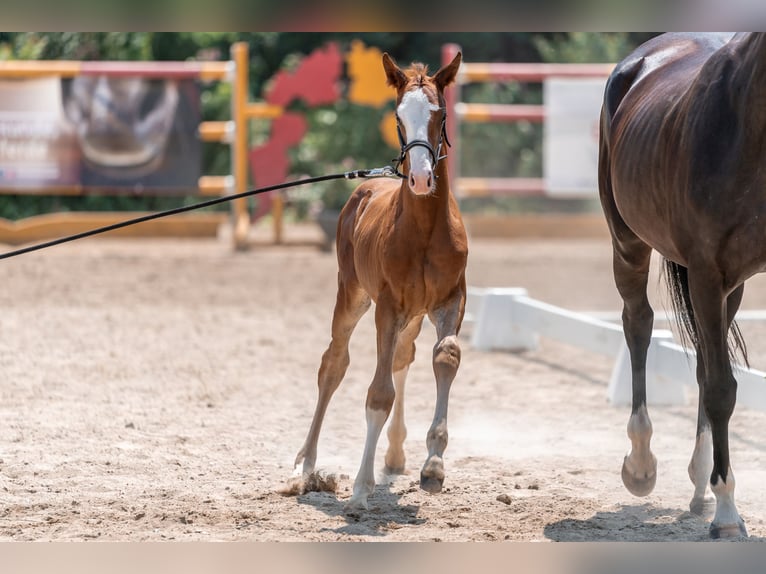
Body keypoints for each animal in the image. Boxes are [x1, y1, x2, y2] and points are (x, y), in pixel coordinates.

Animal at [292, 53, 468, 512]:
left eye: (440, 113)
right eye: (398, 116)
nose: (421, 178)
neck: (424, 229)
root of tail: (369, 183)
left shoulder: (450, 299)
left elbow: (445, 357)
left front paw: (433, 466)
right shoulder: (388, 306)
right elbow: (377, 394)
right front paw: (360, 487)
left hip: (414, 315)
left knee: (403, 359)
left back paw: (395, 455)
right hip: (352, 296)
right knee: (333, 364)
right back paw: (307, 464)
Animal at [600, 32, 766, 540]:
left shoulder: (720, 281)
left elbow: (713, 376)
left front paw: (716, 495)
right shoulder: (707, 273)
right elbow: (720, 389)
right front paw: (728, 515)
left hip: (730, 287)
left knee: (702, 358)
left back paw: (699, 485)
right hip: (628, 243)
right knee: (638, 326)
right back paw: (641, 465)